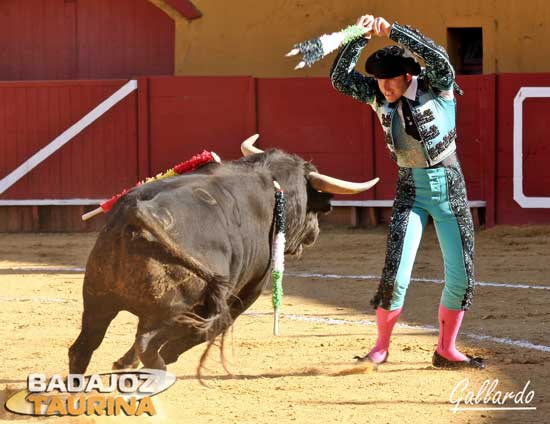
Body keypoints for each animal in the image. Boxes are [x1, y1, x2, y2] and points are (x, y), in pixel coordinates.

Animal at [69, 137, 380, 374]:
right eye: (312, 206)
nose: (314, 233)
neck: (270, 180)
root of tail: (136, 215)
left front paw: (123, 363)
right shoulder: (250, 288)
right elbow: (213, 327)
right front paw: (167, 354)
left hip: (97, 298)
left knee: (83, 346)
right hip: (168, 307)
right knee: (148, 342)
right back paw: (160, 367)